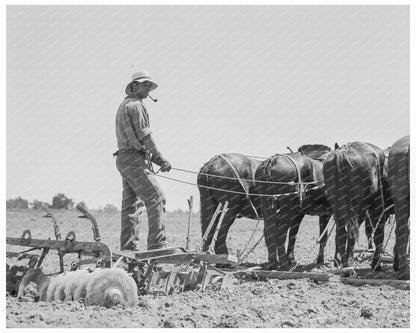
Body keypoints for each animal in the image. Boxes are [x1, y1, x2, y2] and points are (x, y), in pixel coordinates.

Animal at [322, 141, 390, 270]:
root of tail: (343, 151)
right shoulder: (377, 206)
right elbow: (378, 234)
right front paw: (376, 264)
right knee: (354, 234)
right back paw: (350, 266)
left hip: (338, 206)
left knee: (341, 233)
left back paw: (343, 264)